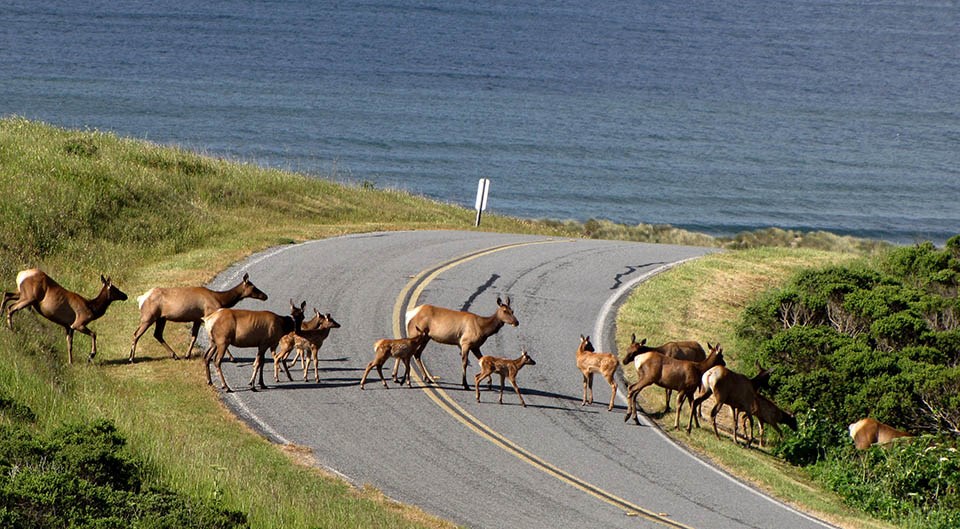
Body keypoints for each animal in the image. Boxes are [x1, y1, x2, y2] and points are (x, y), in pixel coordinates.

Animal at [127, 272, 268, 364]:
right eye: (253, 287)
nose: (265, 296)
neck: (220, 300)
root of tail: (141, 299)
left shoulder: (197, 319)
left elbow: (194, 337)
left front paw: (187, 355)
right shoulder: (208, 313)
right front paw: (232, 358)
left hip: (161, 318)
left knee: (157, 334)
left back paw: (175, 355)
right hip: (148, 316)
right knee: (136, 333)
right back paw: (131, 358)